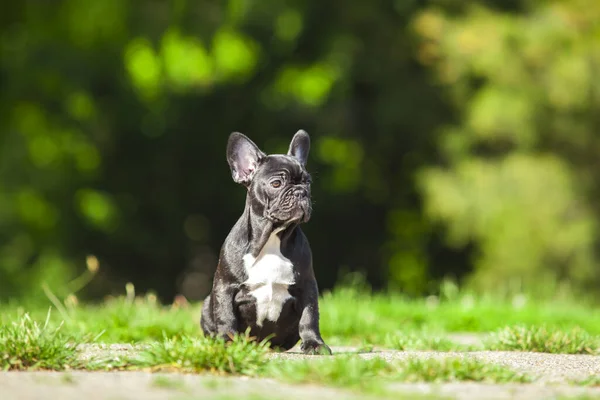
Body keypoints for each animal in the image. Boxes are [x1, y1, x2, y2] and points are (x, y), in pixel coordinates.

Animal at [202, 130, 332, 354]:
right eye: (276, 184)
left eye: (307, 182)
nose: (301, 192)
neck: (272, 238)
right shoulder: (225, 287)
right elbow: (225, 316)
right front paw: (227, 342)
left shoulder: (307, 286)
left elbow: (310, 317)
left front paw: (315, 343)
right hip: (206, 305)